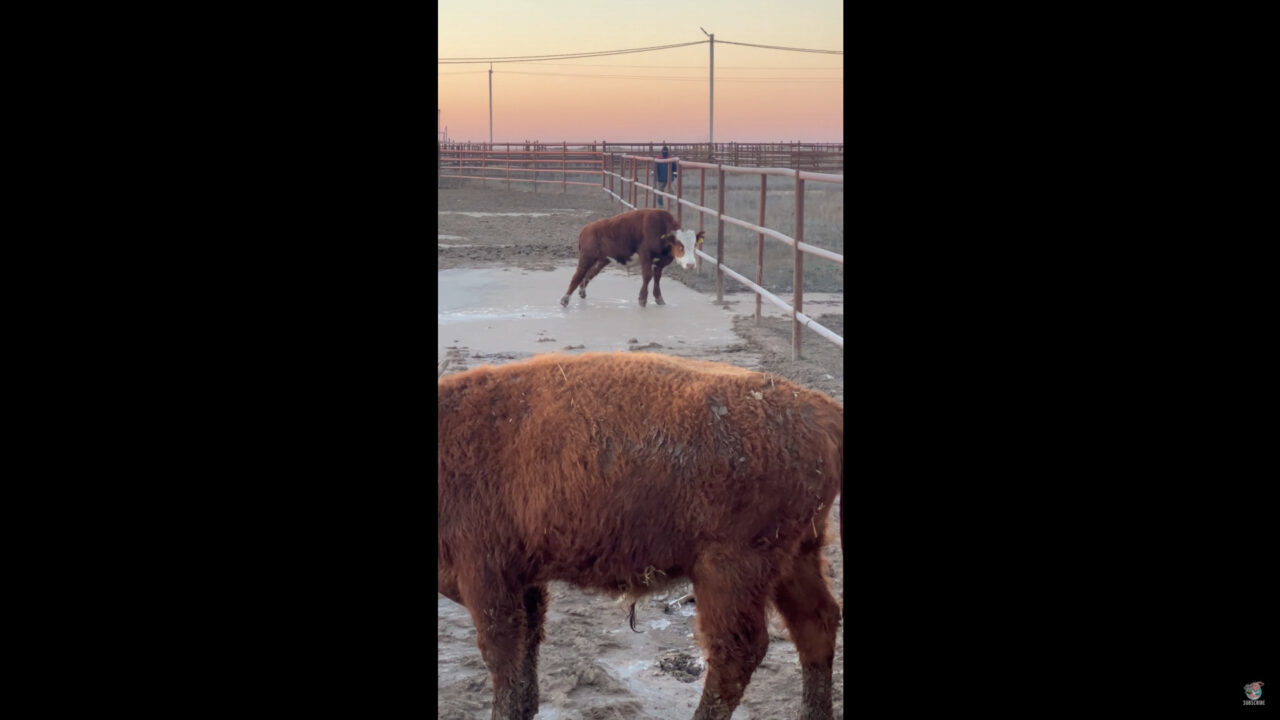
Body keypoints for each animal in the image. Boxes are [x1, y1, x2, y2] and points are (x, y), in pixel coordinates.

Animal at [435, 351, 844, 717]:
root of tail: (822, 408)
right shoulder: (524, 581)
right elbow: (526, 655)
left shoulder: (488, 581)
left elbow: (503, 659)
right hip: (797, 555)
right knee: (816, 623)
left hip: (730, 571)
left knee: (737, 651)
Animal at [558, 208, 706, 307]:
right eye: (680, 246)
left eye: (694, 246)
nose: (691, 265)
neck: (661, 230)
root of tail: (586, 229)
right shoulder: (645, 256)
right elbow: (647, 276)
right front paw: (642, 299)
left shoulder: (660, 262)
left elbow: (657, 278)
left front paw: (659, 298)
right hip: (586, 258)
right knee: (578, 275)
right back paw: (565, 299)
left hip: (602, 260)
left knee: (589, 274)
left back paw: (582, 291)